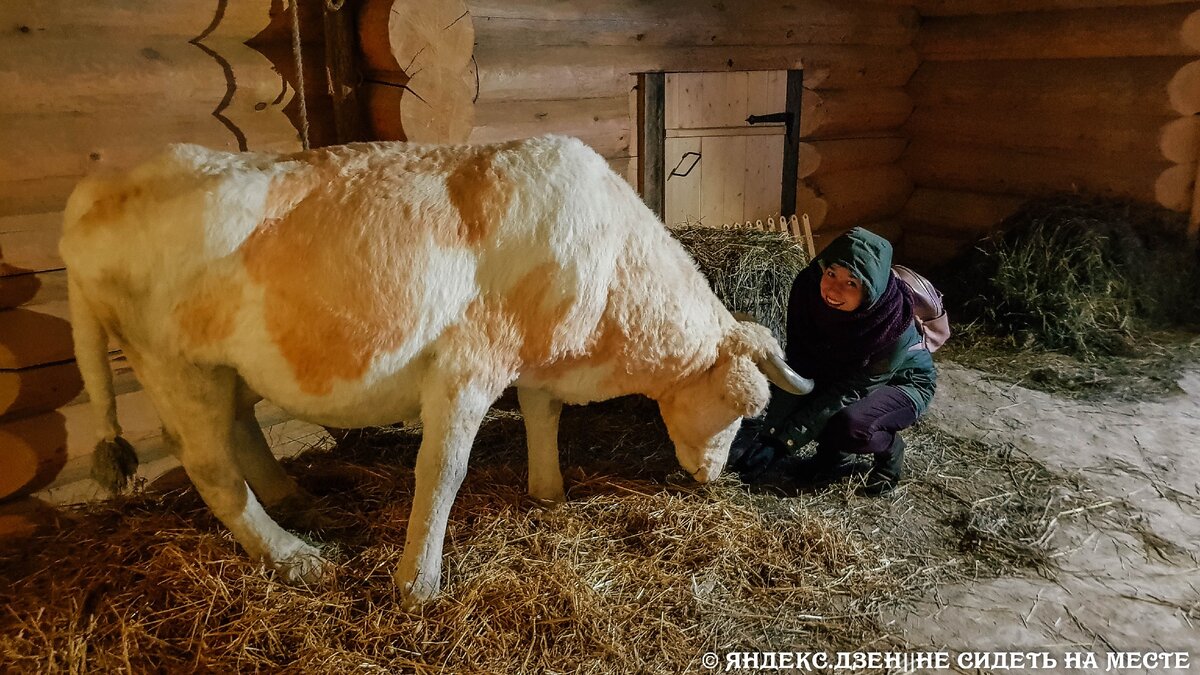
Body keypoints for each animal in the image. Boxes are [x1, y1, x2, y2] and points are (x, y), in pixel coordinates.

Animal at [63, 135, 816, 605]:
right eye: (747, 407)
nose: (716, 477)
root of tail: (99, 186)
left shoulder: (529, 356)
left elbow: (543, 416)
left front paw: (549, 493)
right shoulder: (466, 366)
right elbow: (443, 470)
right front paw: (416, 582)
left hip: (220, 368)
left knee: (241, 430)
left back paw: (293, 498)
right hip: (174, 365)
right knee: (211, 468)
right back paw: (294, 555)